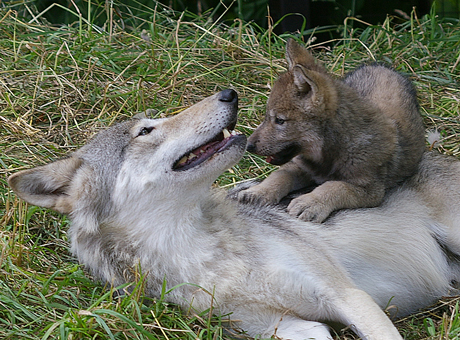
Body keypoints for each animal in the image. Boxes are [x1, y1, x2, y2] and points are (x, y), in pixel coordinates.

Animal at [239, 39, 426, 223]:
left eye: (279, 120)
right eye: (267, 117)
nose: (248, 145)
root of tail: (379, 65)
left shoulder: (370, 190)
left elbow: (334, 186)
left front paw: (310, 202)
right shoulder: (299, 166)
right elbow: (279, 176)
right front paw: (257, 191)